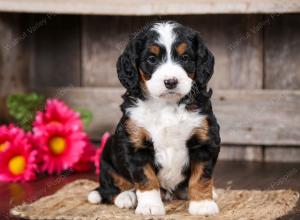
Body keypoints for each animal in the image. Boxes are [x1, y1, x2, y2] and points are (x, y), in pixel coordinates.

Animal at [86, 21, 220, 217]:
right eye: (152, 59)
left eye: (185, 57)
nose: (171, 81)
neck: (167, 106)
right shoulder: (136, 144)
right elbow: (146, 179)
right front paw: (150, 206)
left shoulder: (204, 140)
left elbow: (201, 176)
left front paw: (203, 204)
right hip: (107, 156)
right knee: (109, 187)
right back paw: (126, 197)